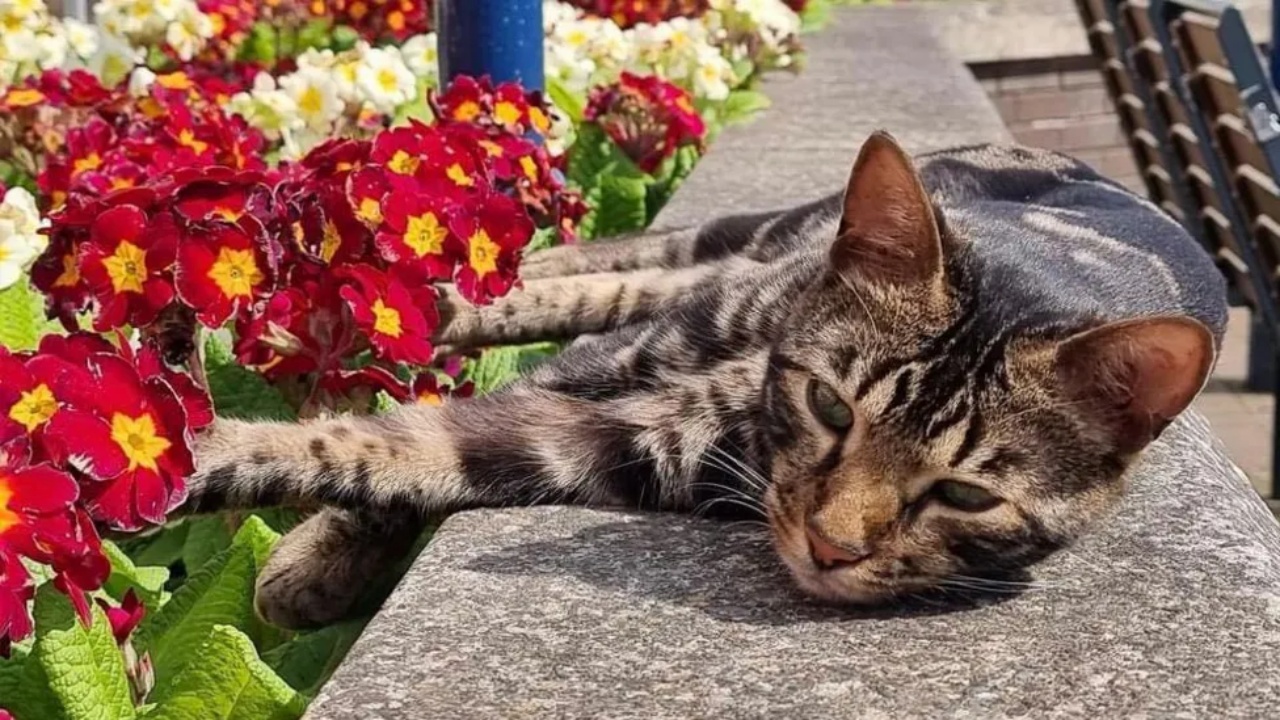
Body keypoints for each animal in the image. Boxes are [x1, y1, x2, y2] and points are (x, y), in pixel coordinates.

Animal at [185, 131, 1223, 625]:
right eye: (828, 404)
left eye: (966, 495)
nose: (831, 550)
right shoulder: (626, 360)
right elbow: (387, 437)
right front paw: (297, 539)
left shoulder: (633, 438)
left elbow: (417, 452)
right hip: (738, 252)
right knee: (634, 255)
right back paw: (465, 292)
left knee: (625, 278)